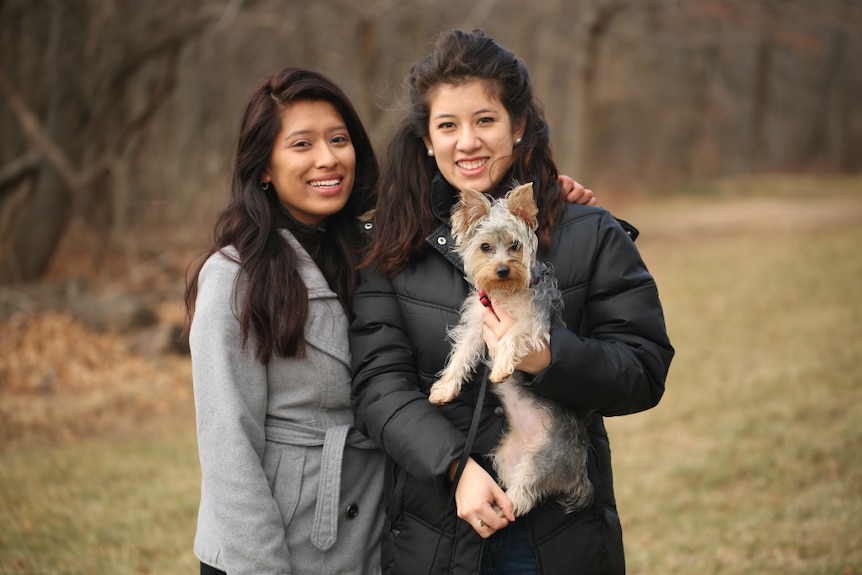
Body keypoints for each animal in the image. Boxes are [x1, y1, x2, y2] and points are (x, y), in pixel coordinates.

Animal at [430, 184, 592, 516]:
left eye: (516, 245)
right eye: (485, 247)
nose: (503, 269)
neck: (506, 293)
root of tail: (577, 471)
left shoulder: (535, 324)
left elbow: (513, 335)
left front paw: (503, 366)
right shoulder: (479, 323)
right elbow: (462, 354)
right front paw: (444, 388)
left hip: (544, 458)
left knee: (524, 495)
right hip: (506, 455)